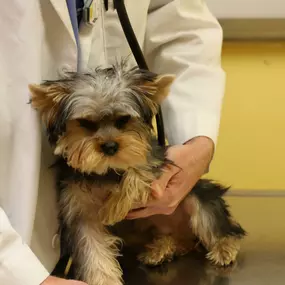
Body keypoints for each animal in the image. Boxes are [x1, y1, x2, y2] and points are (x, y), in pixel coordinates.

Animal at [30, 60, 245, 284]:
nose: (110, 147)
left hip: (196, 194)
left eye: (123, 120)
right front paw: (104, 279)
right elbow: (93, 250)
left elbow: (139, 171)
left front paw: (113, 208)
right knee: (176, 239)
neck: (107, 171)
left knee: (218, 223)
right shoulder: (80, 210)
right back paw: (161, 250)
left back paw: (222, 248)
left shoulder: (157, 160)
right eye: (86, 123)